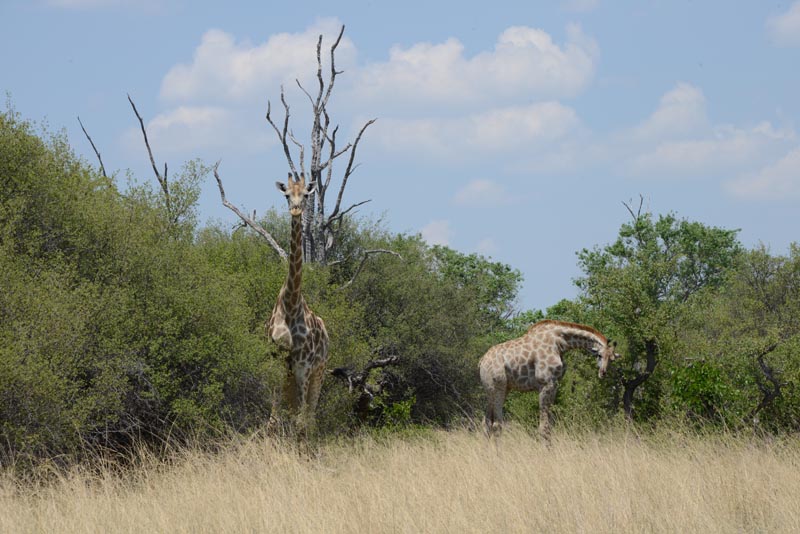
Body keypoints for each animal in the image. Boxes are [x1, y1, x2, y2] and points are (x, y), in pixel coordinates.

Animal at [479, 320, 620, 438]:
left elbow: (550, 425)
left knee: (486, 423)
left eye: (612, 359)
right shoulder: (545, 383)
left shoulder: (555, 384)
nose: (603, 373)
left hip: (497, 389)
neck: (561, 343)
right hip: (498, 386)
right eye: (599, 355)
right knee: (496, 425)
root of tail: (481, 362)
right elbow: (544, 428)